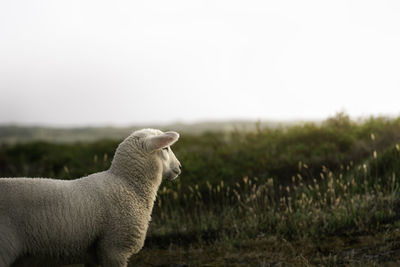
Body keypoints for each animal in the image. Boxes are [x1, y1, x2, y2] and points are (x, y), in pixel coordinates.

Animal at [0, 129, 181, 266]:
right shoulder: (114, 248)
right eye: (166, 148)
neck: (128, 185)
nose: (179, 167)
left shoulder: (93, 254)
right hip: (5, 247)